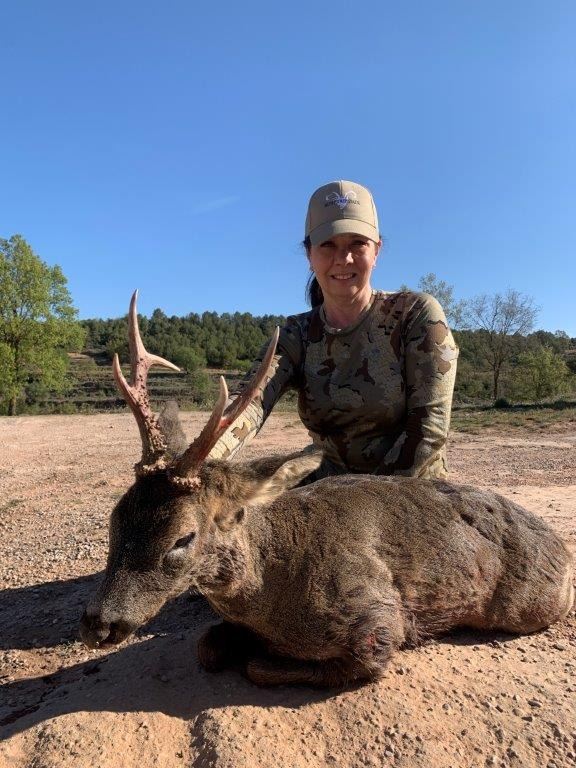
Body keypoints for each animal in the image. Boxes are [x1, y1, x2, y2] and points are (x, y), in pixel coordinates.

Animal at [79, 292, 574, 688]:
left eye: (183, 538)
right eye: (114, 519)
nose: (97, 624)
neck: (270, 590)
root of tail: (560, 546)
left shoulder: (378, 620)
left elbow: (268, 667)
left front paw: (262, 657)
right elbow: (207, 646)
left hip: (533, 604)